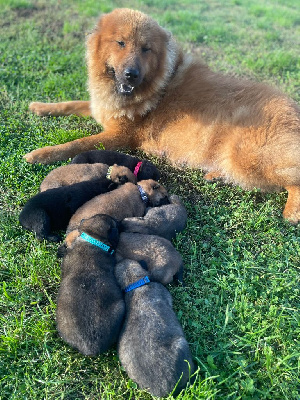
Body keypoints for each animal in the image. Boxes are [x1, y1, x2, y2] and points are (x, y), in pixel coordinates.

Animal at [25, 7, 300, 223]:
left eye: (146, 49)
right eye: (120, 43)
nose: (131, 74)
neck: (156, 84)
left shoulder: (120, 136)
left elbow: (76, 144)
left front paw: (41, 153)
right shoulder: (101, 110)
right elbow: (70, 104)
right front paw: (40, 107)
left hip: (249, 157)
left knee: (290, 180)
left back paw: (291, 212)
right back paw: (216, 175)